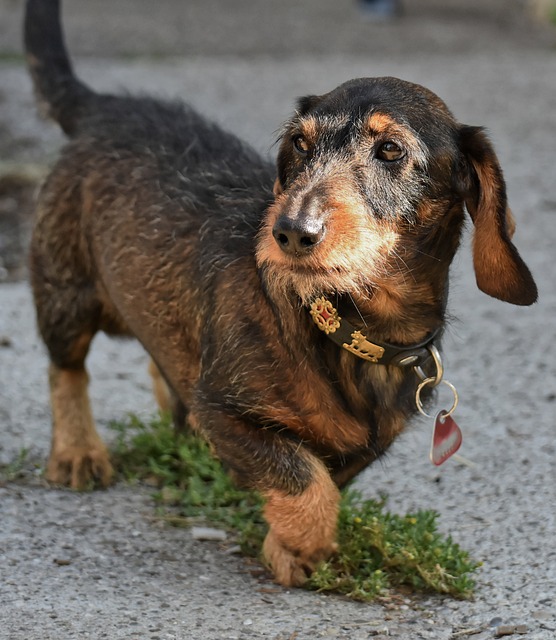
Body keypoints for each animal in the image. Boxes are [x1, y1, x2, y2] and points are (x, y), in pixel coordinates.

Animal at [26, 0, 540, 584]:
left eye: (390, 149)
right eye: (300, 143)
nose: (292, 231)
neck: (347, 328)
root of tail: (104, 108)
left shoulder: (363, 445)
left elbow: (325, 475)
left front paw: (287, 543)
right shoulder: (221, 409)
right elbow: (301, 475)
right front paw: (301, 546)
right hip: (66, 294)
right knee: (66, 369)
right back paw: (77, 451)